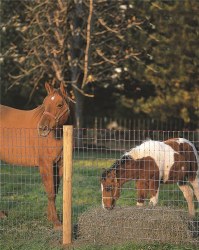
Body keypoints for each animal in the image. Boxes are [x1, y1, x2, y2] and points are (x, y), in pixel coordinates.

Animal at [0, 82, 73, 229]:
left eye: (60, 104)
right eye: (44, 104)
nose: (42, 128)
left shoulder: (59, 164)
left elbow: (55, 191)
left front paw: (51, 217)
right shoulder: (45, 164)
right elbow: (50, 192)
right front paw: (56, 222)